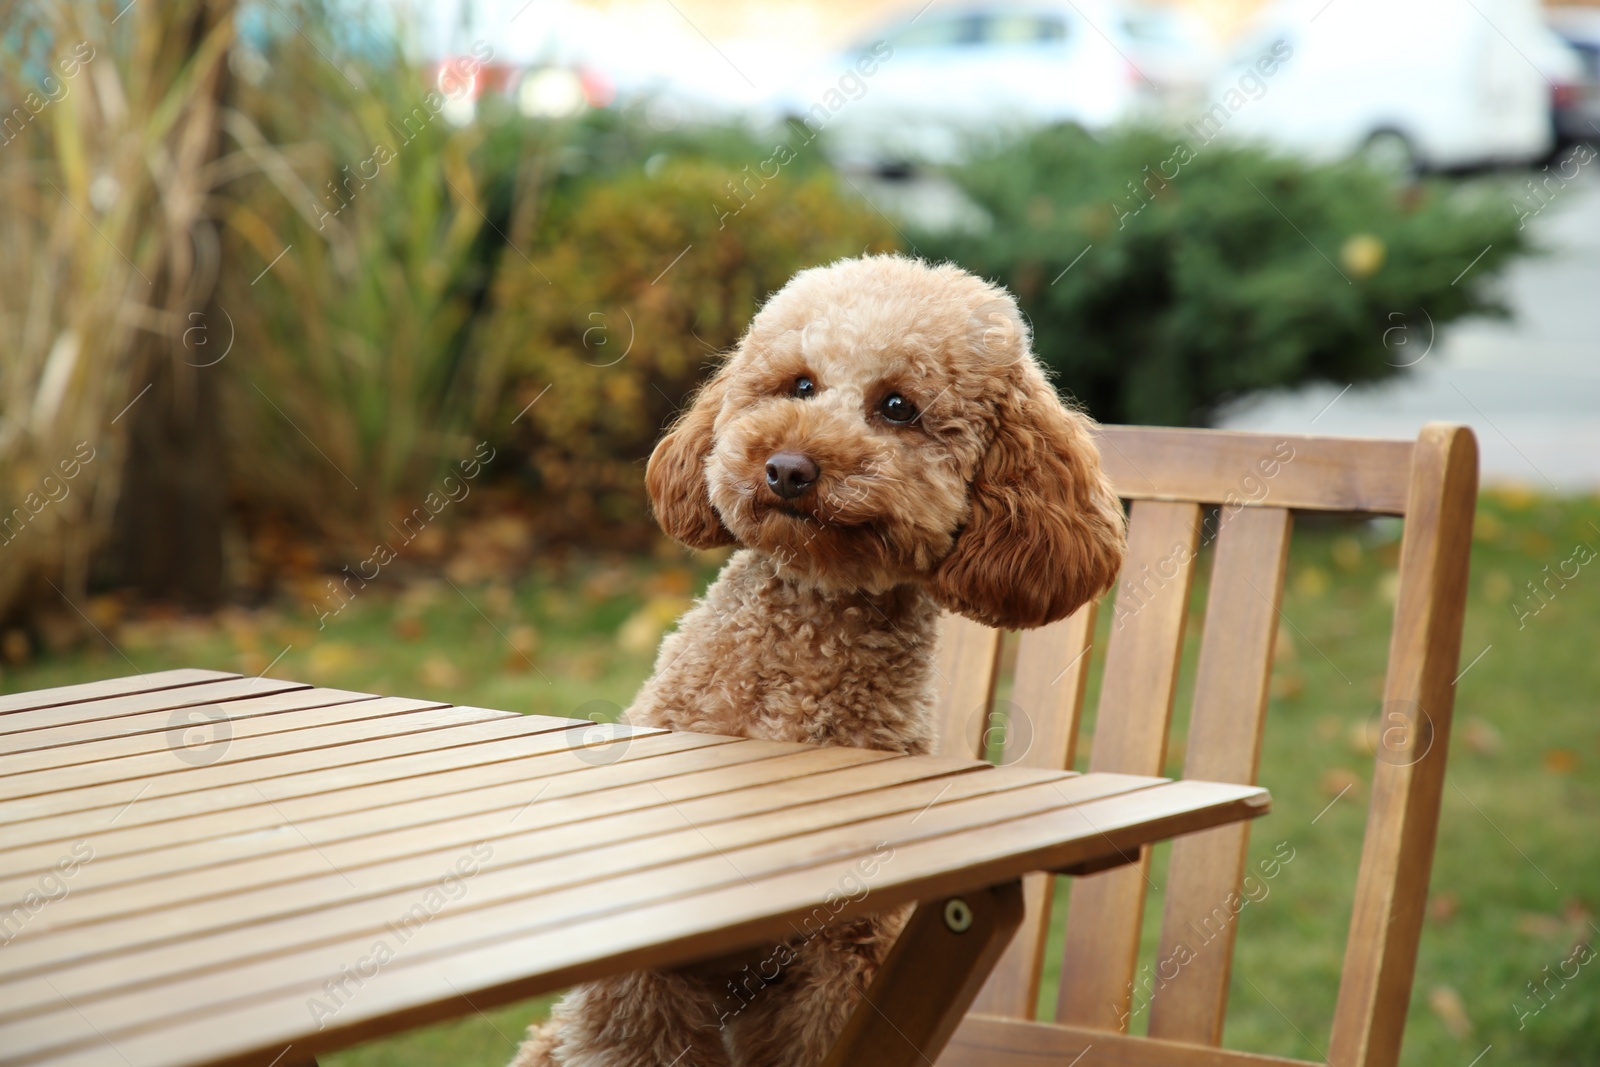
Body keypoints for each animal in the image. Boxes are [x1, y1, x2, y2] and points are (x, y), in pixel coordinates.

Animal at [512, 252, 1126, 1067]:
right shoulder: (641, 978)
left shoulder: (846, 963)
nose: (788, 468)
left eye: (897, 406)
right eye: (799, 385)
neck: (806, 641)